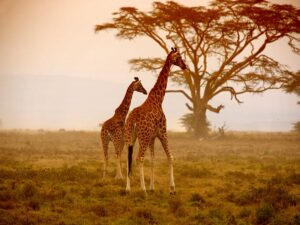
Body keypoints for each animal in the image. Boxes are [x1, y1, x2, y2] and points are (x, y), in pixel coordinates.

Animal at [123, 47, 185, 193]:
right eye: (179, 57)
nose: (185, 66)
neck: (158, 99)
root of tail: (132, 120)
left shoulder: (152, 137)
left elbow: (153, 160)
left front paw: (152, 188)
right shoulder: (162, 132)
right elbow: (170, 157)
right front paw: (172, 188)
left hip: (130, 137)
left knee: (128, 158)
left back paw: (128, 189)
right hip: (143, 137)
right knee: (139, 158)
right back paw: (143, 190)